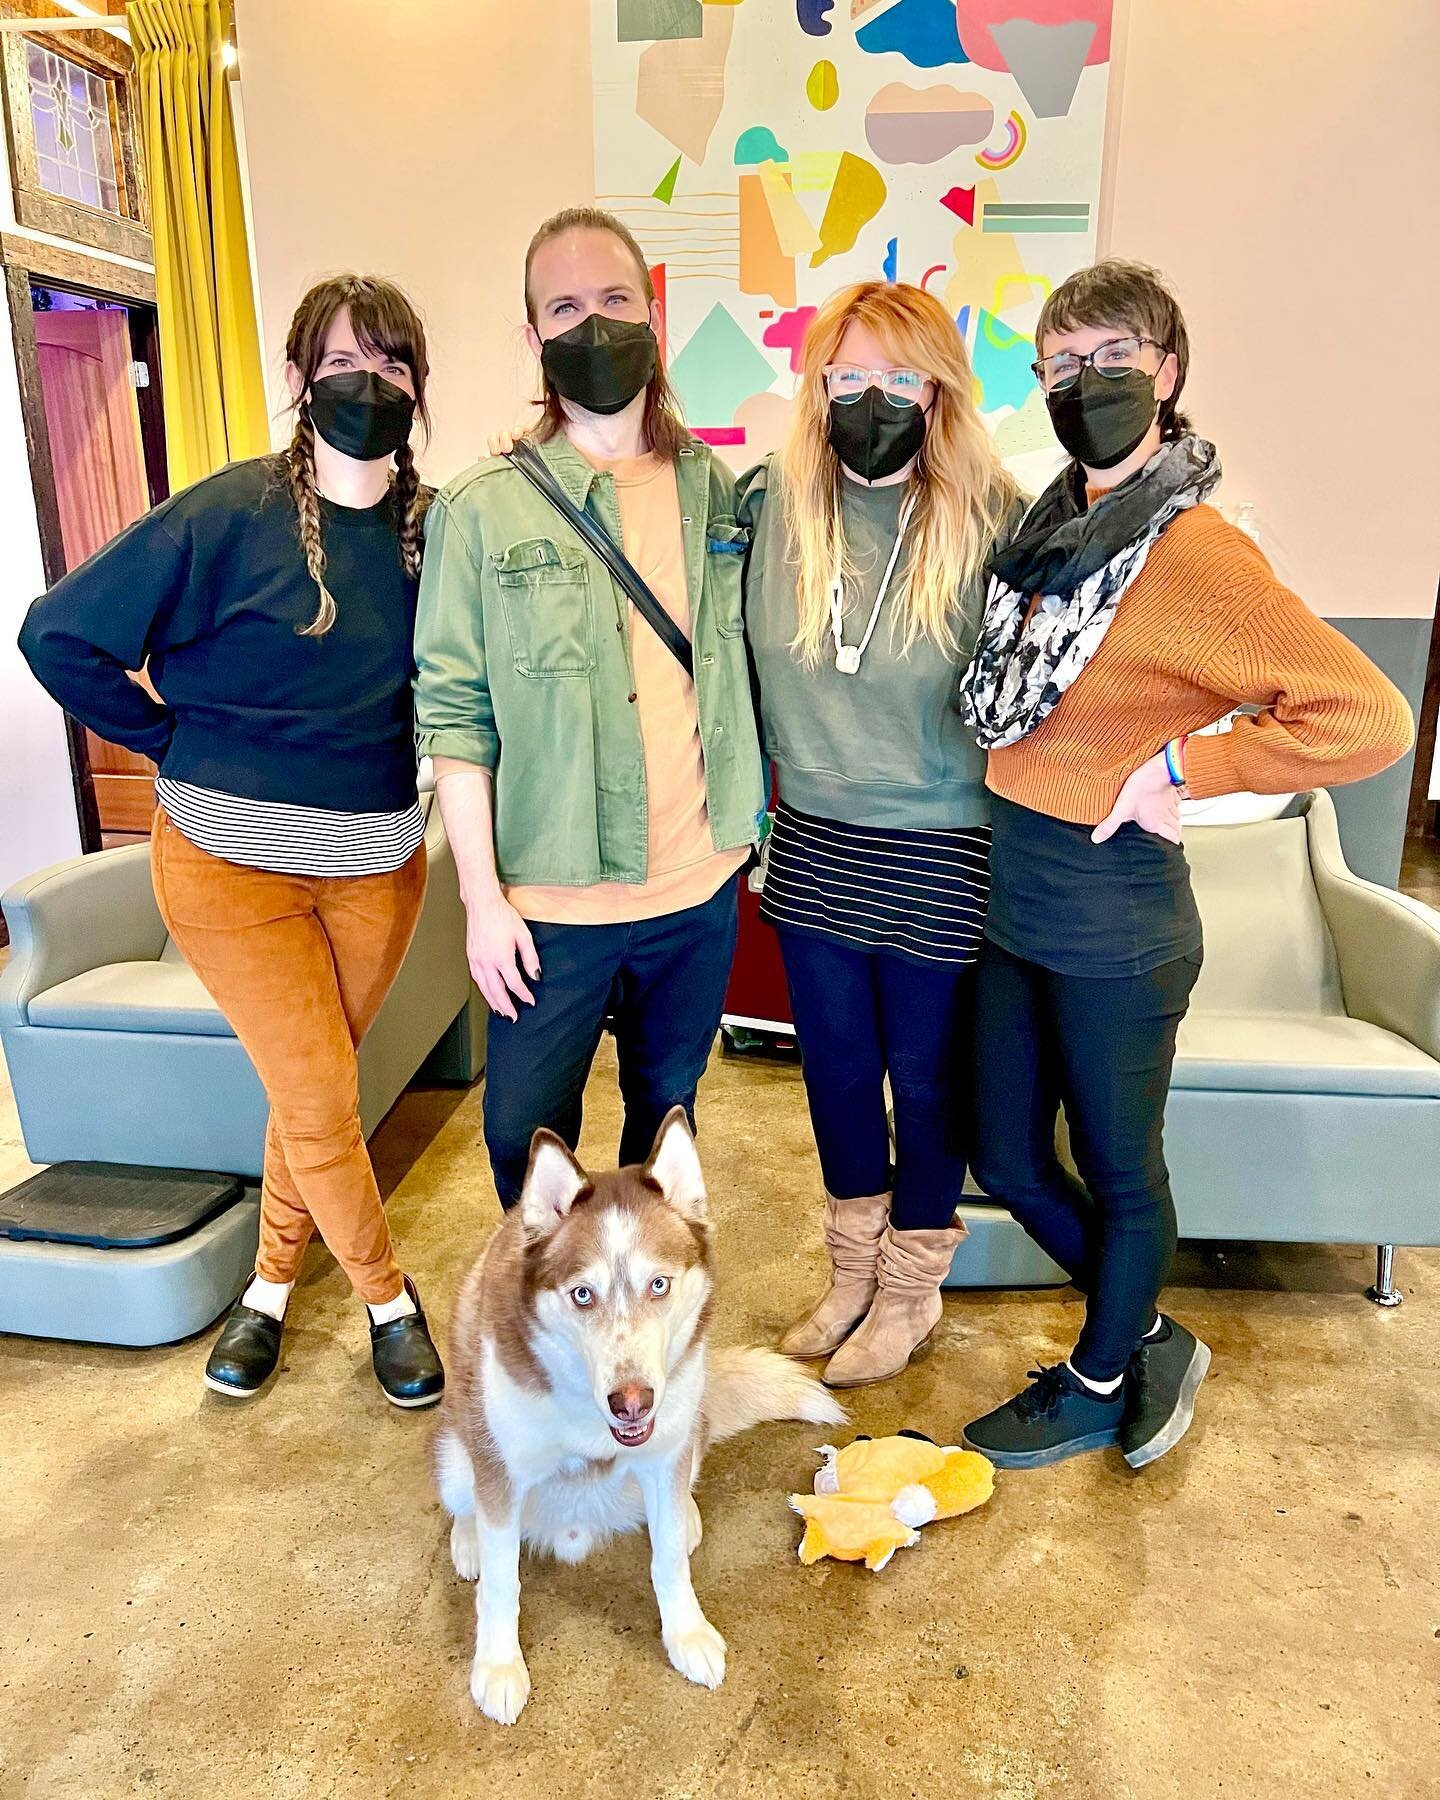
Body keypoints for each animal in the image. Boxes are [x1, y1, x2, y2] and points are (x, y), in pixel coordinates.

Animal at [439, 1101, 842, 1720]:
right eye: (583, 1294)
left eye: (659, 1284)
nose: (632, 1402)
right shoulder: (502, 1471)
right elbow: (503, 1584)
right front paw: (499, 1665)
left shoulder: (662, 1453)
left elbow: (668, 1557)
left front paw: (686, 1633)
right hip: (458, 1453)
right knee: (466, 1502)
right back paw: (469, 1541)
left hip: (688, 1431)